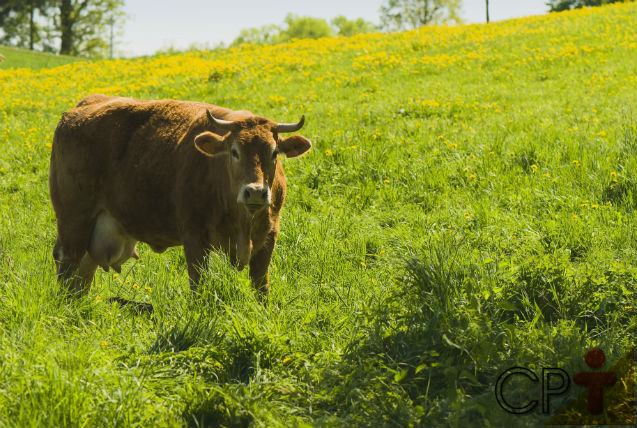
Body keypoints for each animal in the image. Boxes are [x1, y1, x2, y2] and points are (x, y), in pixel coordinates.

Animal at [48, 94, 312, 296]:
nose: (255, 192)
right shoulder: (194, 237)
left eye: (274, 152)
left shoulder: (269, 235)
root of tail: (79, 109)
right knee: (67, 264)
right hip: (73, 221)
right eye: (234, 151)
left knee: (83, 274)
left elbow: (261, 286)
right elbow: (198, 284)